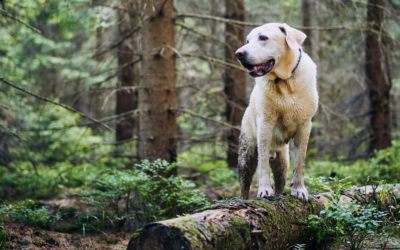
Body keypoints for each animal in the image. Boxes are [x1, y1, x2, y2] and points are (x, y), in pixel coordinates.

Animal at [234, 23, 318, 201]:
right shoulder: (265, 123)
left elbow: (300, 162)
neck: (285, 82)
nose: (239, 53)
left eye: (263, 37)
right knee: (244, 187)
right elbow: (263, 163)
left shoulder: (305, 125)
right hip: (246, 155)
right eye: (247, 40)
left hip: (282, 163)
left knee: (281, 181)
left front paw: (299, 189)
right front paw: (265, 189)